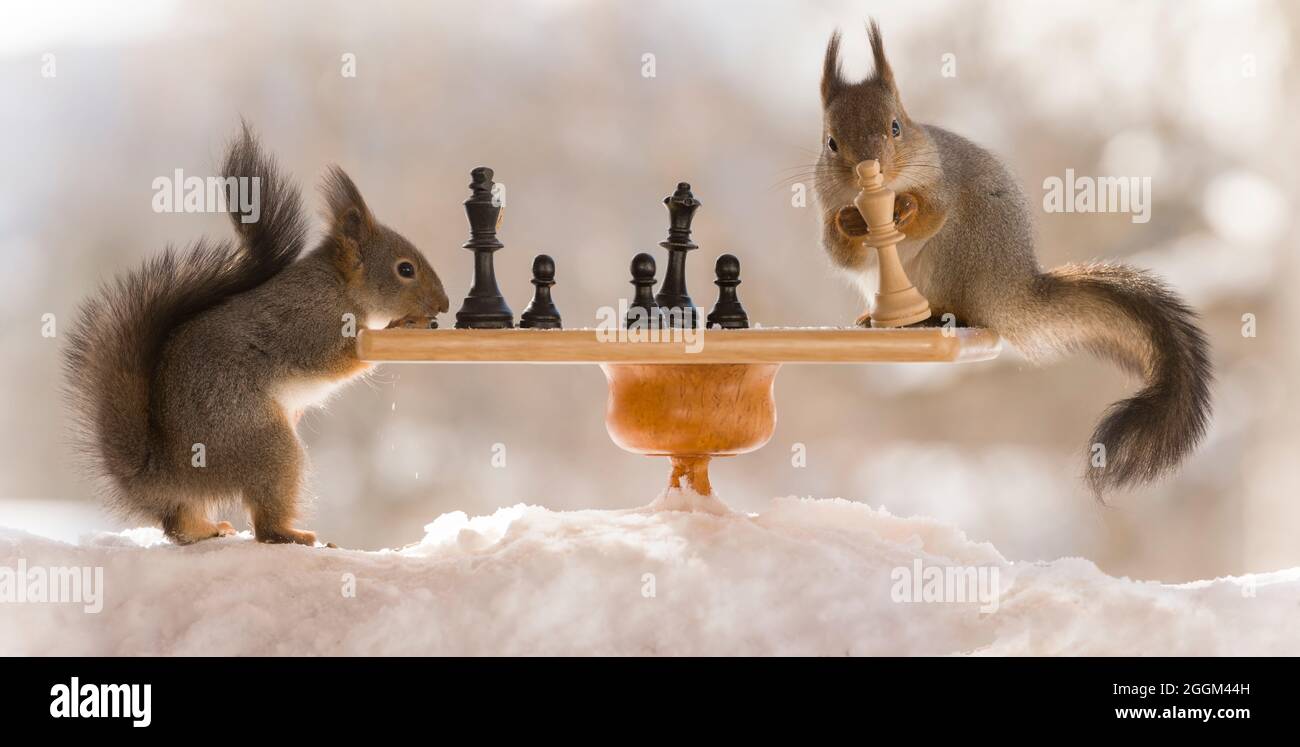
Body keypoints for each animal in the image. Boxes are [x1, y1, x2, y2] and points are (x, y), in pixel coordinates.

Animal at [816, 21, 1211, 496]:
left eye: (896, 127)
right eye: (831, 142)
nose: (868, 168)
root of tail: (1008, 289)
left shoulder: (940, 180)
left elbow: (930, 213)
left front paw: (906, 208)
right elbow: (839, 251)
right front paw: (850, 222)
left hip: (961, 249)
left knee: (960, 307)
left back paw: (934, 315)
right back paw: (873, 318)